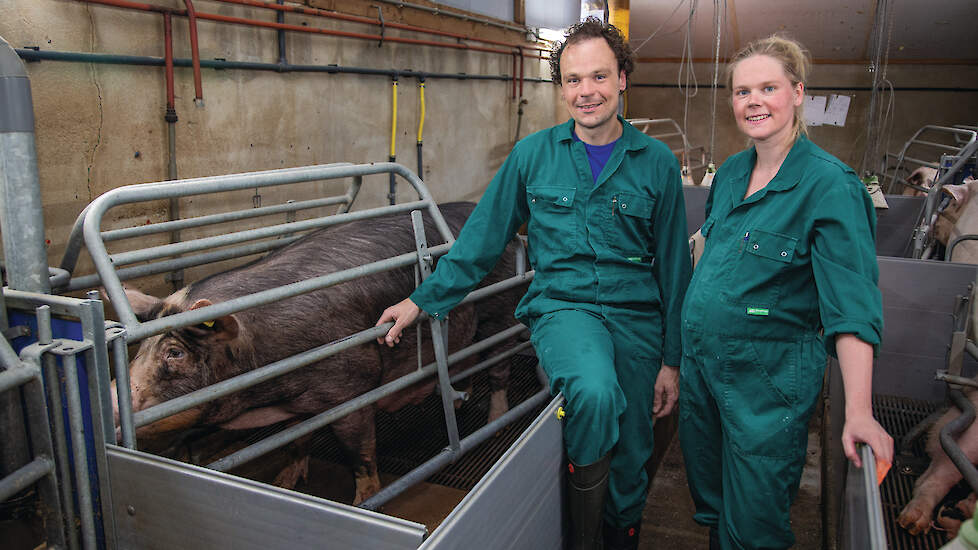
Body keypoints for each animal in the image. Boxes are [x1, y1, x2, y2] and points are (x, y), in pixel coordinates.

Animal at [105, 202, 528, 504]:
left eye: (175, 353)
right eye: (139, 349)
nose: (110, 402)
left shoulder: (353, 388)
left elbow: (360, 454)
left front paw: (363, 502)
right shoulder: (299, 402)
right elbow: (297, 440)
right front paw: (284, 482)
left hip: (500, 315)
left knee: (499, 368)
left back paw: (496, 422)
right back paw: (454, 402)